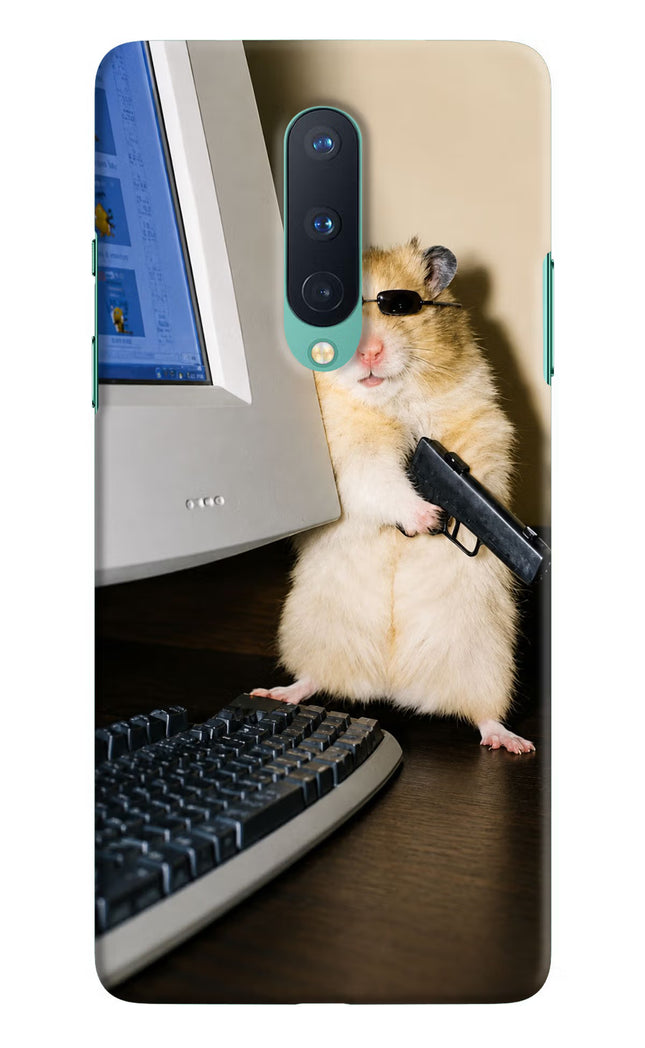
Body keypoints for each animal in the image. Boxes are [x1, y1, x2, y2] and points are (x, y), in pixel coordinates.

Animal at [252, 239, 534, 754]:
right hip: (311, 632)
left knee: (484, 714)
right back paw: (276, 692)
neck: (391, 400)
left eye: (399, 306)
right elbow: (380, 481)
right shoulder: (349, 459)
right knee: (313, 678)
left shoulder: (481, 424)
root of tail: (392, 686)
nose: (368, 352)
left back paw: (512, 742)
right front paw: (428, 518)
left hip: (488, 660)